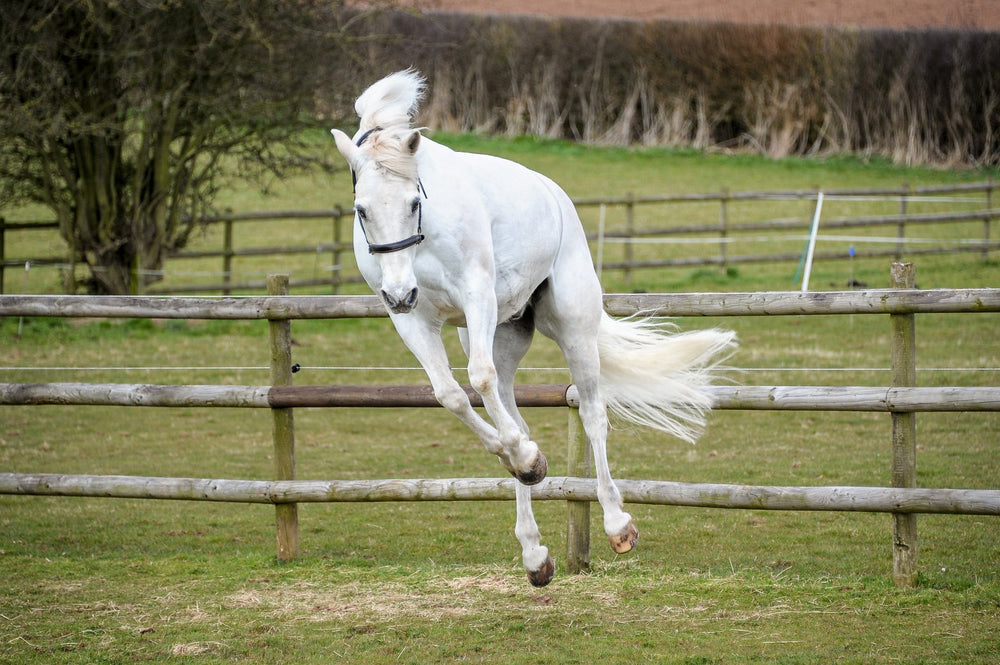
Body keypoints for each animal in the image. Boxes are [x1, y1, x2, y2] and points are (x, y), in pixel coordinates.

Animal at [331, 70, 735, 587]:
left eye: (413, 201)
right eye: (361, 209)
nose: (400, 292)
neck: (425, 237)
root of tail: (554, 192)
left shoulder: (476, 297)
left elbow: (478, 379)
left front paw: (526, 459)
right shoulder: (412, 320)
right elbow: (452, 395)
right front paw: (526, 461)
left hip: (573, 329)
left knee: (593, 415)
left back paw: (617, 524)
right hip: (503, 334)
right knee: (515, 416)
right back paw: (534, 550)